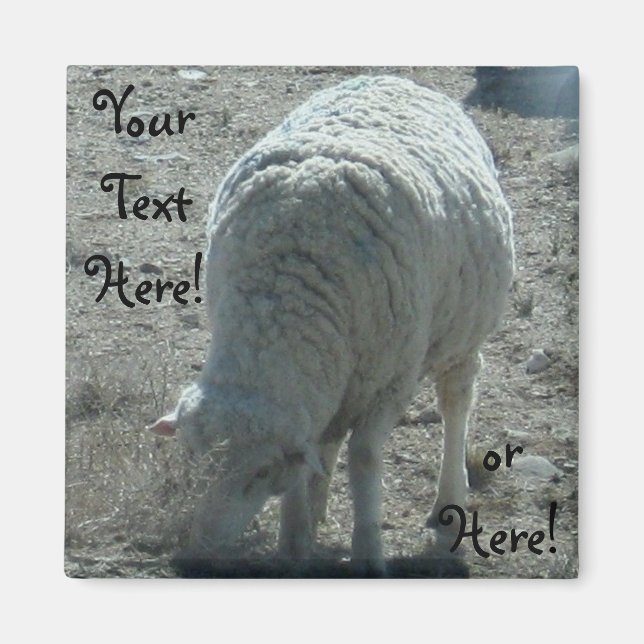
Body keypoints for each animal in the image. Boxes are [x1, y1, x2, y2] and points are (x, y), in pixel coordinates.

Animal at [149, 75, 514, 576]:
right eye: (191, 455)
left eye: (261, 472)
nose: (200, 553)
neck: (280, 301)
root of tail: (395, 78)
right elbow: (311, 456)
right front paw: (294, 539)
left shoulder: (391, 379)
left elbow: (364, 459)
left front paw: (367, 552)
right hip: (345, 367)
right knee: (328, 435)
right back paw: (318, 506)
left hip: (460, 330)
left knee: (455, 402)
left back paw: (448, 502)